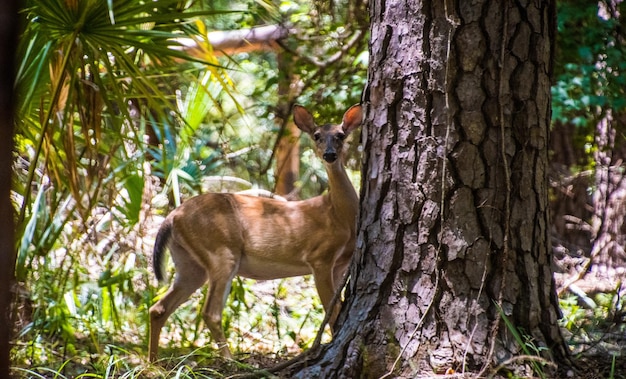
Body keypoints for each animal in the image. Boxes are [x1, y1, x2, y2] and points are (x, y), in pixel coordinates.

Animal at [148, 104, 360, 362]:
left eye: (341, 135)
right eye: (317, 135)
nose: (329, 155)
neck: (339, 215)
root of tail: (172, 216)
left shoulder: (341, 263)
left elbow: (336, 308)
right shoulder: (320, 257)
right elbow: (331, 308)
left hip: (189, 263)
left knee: (158, 308)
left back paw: (153, 363)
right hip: (220, 250)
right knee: (210, 312)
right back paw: (230, 360)